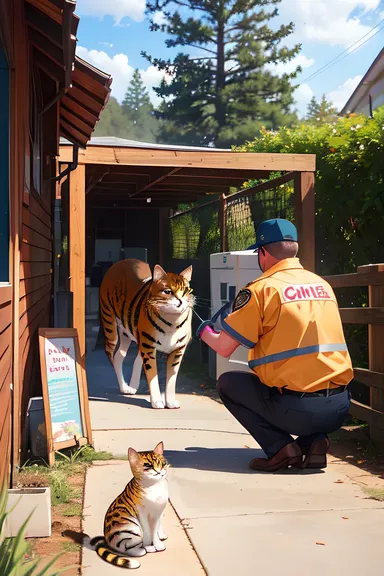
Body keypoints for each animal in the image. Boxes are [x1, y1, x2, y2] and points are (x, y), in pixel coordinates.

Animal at [99, 256, 194, 410]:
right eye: (168, 291)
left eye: (186, 290)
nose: (180, 301)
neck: (172, 320)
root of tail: (122, 262)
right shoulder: (149, 348)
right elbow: (152, 375)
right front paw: (156, 402)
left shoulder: (177, 351)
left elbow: (171, 379)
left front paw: (170, 402)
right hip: (110, 326)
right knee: (112, 355)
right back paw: (124, 386)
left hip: (128, 335)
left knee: (120, 356)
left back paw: (128, 387)